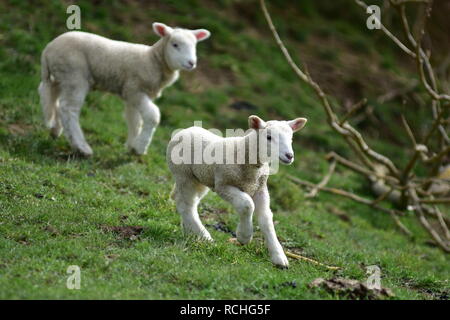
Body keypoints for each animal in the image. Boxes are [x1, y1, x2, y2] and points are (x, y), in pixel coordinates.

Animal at [37, 22, 211, 156]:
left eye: (195, 46)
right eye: (175, 45)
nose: (191, 63)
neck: (153, 60)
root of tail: (48, 49)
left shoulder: (131, 94)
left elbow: (134, 120)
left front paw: (132, 145)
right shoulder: (135, 90)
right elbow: (152, 116)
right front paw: (141, 147)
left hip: (60, 77)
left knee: (51, 97)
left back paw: (55, 130)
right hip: (75, 75)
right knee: (68, 109)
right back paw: (82, 147)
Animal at [167, 115, 308, 268]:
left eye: (291, 138)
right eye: (269, 137)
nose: (289, 156)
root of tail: (184, 130)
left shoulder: (260, 188)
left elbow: (266, 219)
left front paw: (279, 257)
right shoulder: (223, 184)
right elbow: (247, 205)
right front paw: (244, 236)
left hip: (200, 179)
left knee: (186, 201)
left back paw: (191, 232)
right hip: (184, 174)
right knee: (185, 205)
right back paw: (204, 236)